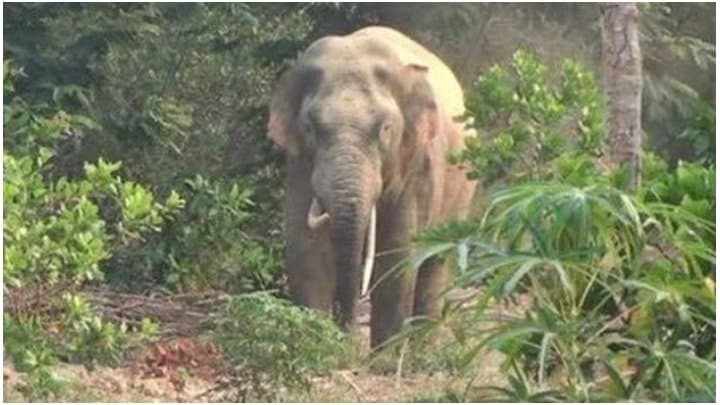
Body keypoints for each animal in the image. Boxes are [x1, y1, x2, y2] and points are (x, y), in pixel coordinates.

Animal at [267, 26, 476, 348]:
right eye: (310, 128)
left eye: (386, 128)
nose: (346, 331)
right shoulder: (299, 162)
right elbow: (305, 246)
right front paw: (319, 347)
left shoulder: (417, 163)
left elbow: (398, 251)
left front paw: (384, 356)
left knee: (436, 262)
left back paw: (425, 349)